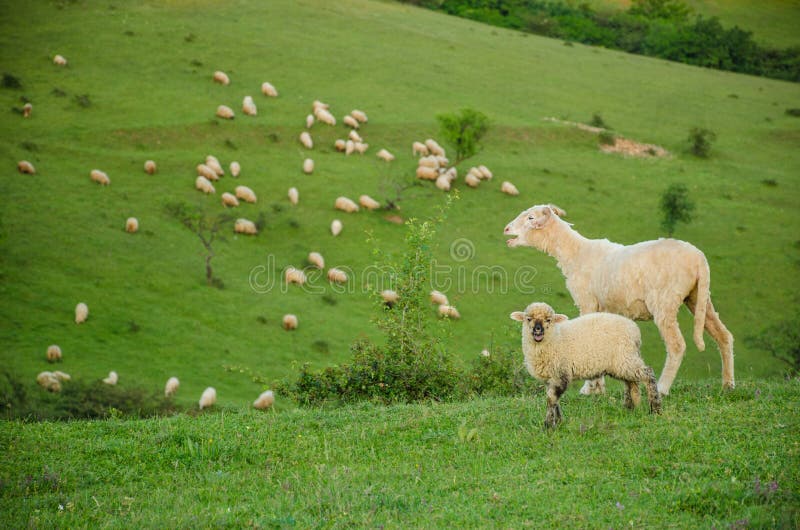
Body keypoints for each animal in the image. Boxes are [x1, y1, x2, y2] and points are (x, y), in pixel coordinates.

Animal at [504, 203, 735, 395]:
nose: (506, 229)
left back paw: (662, 388)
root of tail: (699, 259)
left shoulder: (587, 301)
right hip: (698, 297)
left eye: (531, 217)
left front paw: (589, 389)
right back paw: (728, 385)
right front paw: (598, 388)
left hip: (665, 301)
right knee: (723, 335)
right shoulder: (603, 308)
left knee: (677, 345)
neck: (575, 253)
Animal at [510, 302, 661, 428]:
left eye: (549, 320)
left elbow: (551, 398)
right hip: (623, 362)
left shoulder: (561, 372)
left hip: (625, 358)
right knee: (631, 383)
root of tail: (635, 331)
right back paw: (631, 408)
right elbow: (554, 399)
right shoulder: (550, 377)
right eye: (528, 319)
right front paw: (558, 421)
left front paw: (548, 424)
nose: (538, 329)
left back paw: (655, 409)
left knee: (648, 374)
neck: (555, 338)